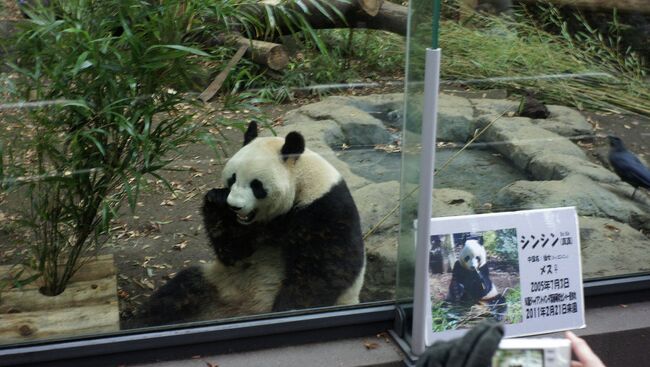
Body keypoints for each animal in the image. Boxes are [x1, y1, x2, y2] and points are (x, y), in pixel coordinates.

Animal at [137, 122, 368, 326]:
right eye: (232, 179)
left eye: (256, 185)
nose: (234, 206)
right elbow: (234, 251)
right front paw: (216, 199)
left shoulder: (324, 208)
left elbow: (322, 273)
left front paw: (286, 309)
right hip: (218, 282)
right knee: (178, 292)